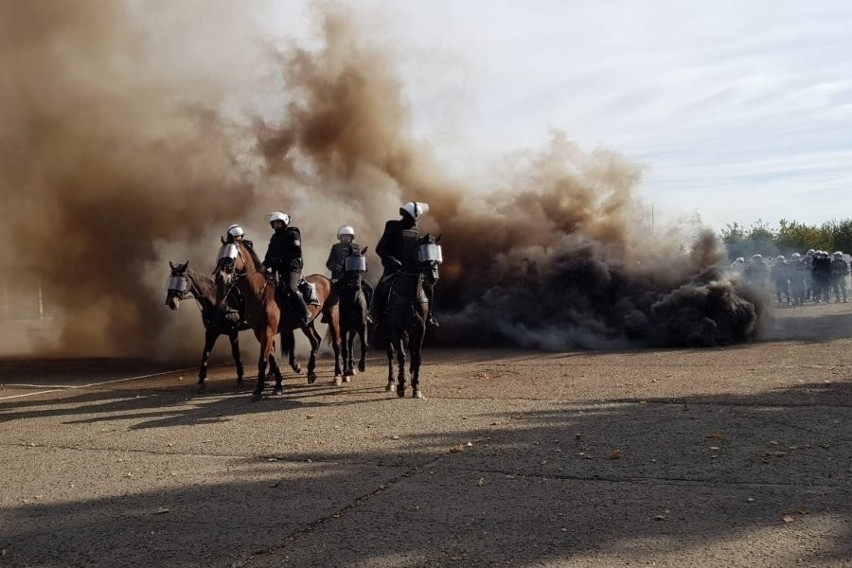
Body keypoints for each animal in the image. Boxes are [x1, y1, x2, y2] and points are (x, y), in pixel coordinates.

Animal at [211, 240, 342, 400]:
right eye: (220, 256)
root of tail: (327, 280)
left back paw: (337, 375)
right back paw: (311, 373)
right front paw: (278, 385)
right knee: (315, 341)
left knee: (336, 344)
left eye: (231, 258)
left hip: (332, 315)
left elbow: (263, 360)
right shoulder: (260, 332)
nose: (220, 277)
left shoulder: (268, 331)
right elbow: (272, 358)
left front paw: (259, 389)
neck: (259, 293)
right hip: (306, 324)